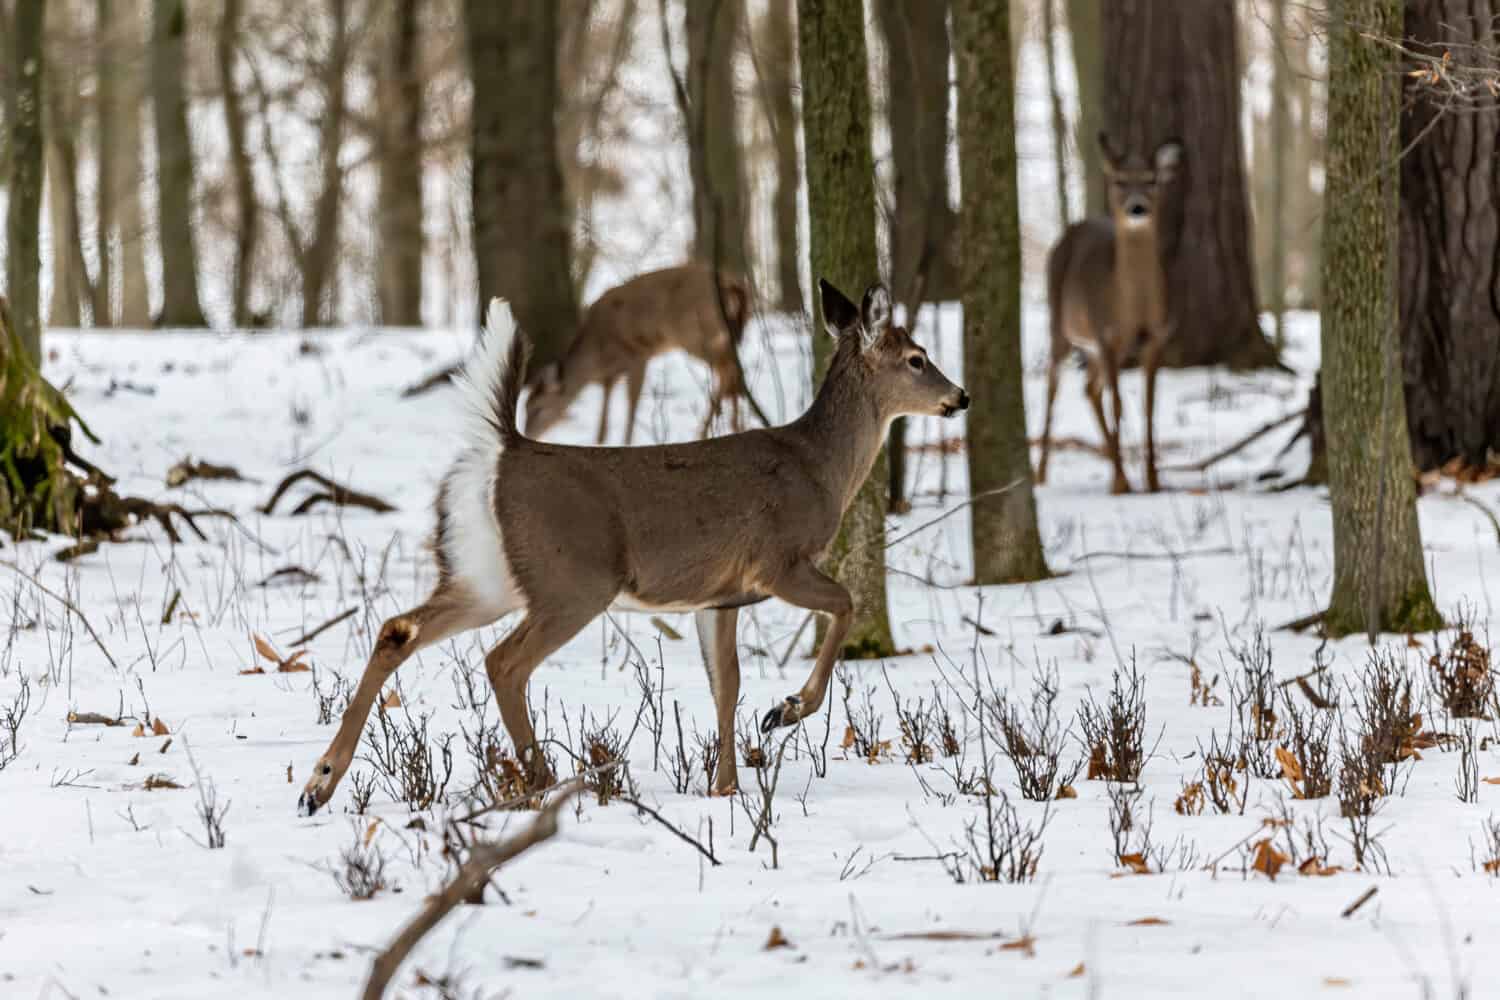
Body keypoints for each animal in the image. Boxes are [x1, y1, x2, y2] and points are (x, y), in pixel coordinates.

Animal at [525, 263, 762, 443]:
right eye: (526, 406)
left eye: (537, 408)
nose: (528, 434)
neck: (597, 352)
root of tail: (735, 286)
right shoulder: (610, 374)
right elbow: (605, 410)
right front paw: (599, 441)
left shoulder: (637, 355)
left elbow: (632, 402)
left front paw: (626, 442)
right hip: (723, 334)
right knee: (733, 367)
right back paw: (735, 425)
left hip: (697, 334)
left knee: (727, 369)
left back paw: (707, 430)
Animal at [1038, 134, 1176, 494]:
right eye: (1119, 180)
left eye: (1151, 180)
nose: (1137, 207)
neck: (1133, 308)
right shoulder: (1106, 333)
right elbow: (1119, 404)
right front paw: (1123, 483)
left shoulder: (1155, 338)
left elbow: (1149, 407)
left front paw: (1153, 481)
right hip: (1060, 324)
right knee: (1053, 387)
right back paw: (1041, 474)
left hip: (1097, 348)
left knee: (1089, 388)